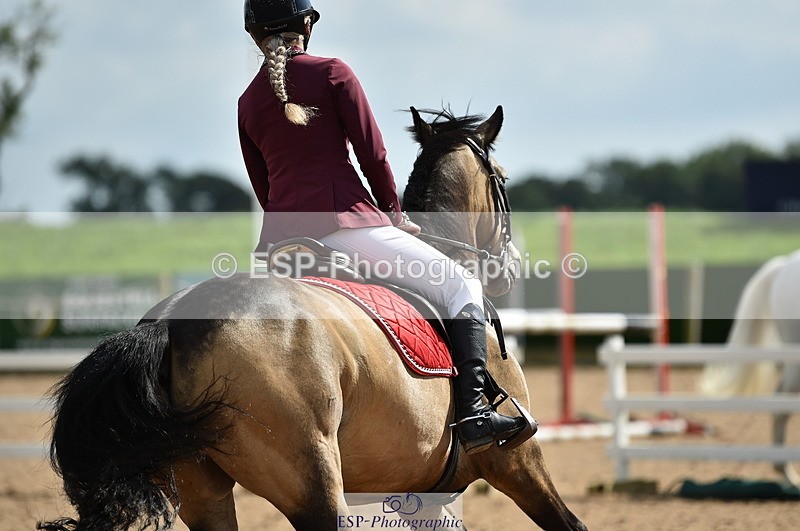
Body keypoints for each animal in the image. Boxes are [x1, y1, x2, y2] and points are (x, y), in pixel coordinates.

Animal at [39, 107, 587, 531]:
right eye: (504, 181)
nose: (509, 268)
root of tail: (172, 321)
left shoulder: (427, 495)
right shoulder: (517, 461)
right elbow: (570, 523)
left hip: (201, 488)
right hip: (313, 482)